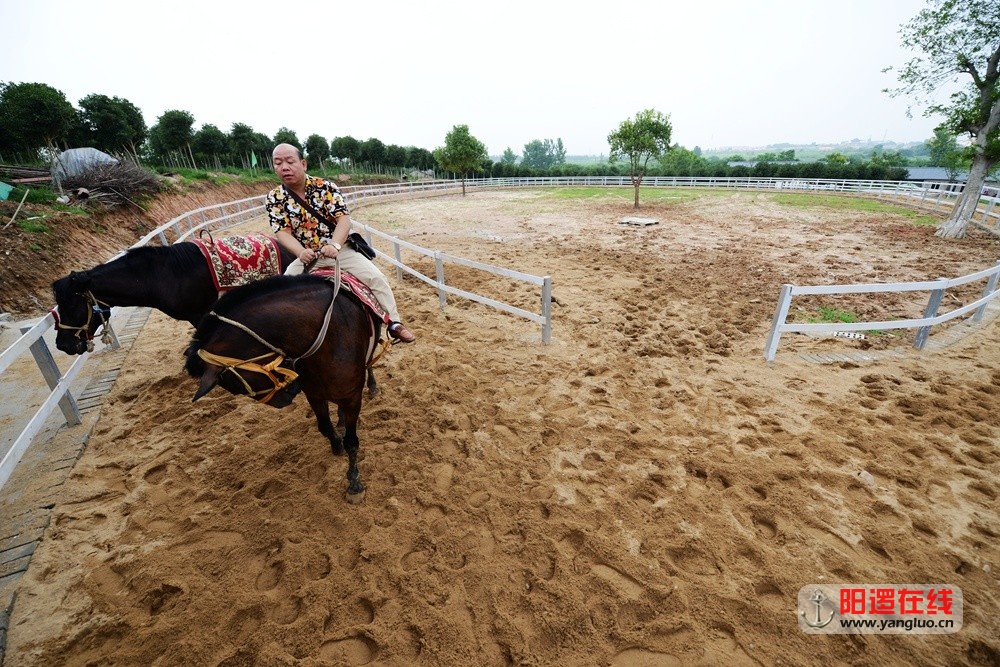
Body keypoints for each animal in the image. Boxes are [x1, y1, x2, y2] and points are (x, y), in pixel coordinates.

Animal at [182, 274, 380, 504]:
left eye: (236, 385)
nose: (286, 397)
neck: (327, 337)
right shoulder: (314, 394)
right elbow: (325, 427)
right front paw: (336, 444)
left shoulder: (352, 398)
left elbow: (352, 442)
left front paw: (354, 484)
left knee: (370, 363)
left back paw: (373, 386)